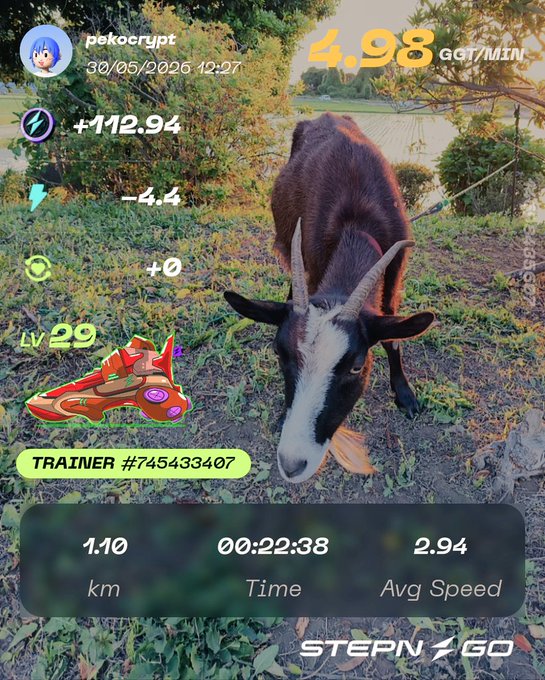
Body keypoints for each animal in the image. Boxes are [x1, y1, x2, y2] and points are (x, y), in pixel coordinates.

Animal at [225, 113, 435, 483]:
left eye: (356, 366)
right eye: (279, 353)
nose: (292, 463)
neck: (357, 223)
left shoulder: (395, 271)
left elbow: (392, 335)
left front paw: (404, 393)